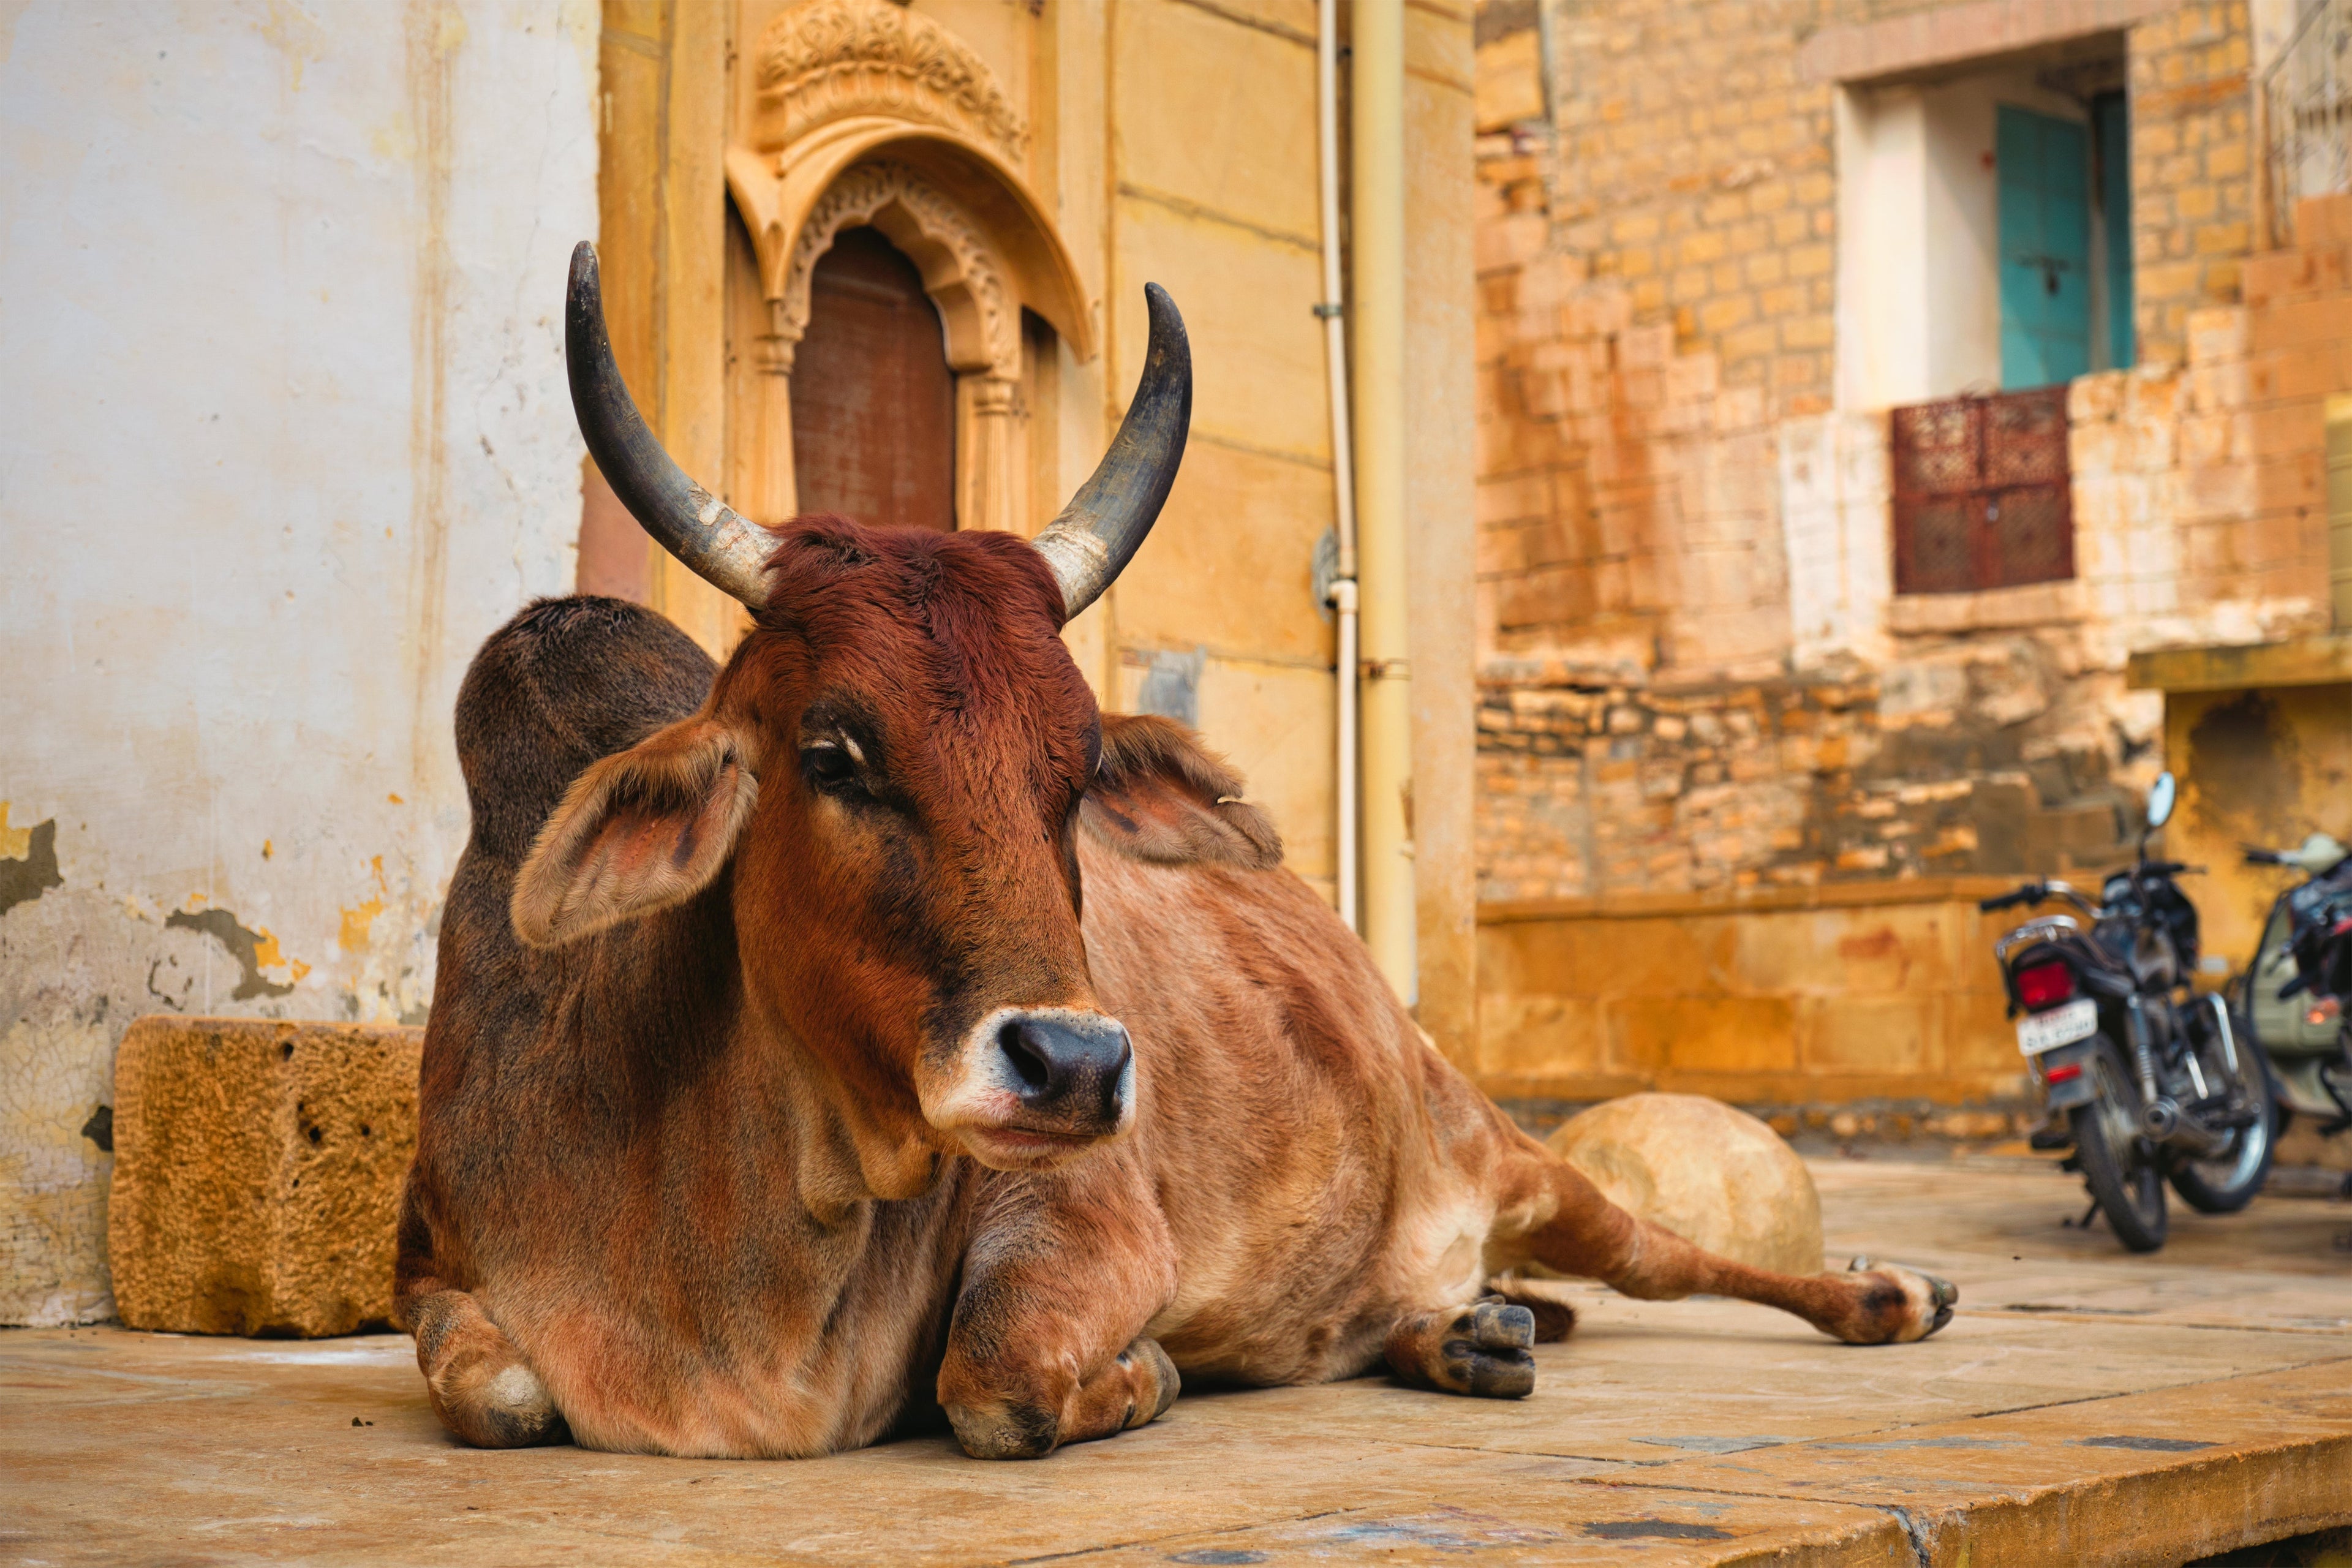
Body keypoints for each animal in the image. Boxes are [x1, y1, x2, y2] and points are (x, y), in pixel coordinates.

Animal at [393, 242, 1956, 1462]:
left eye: (1078, 770)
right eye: (832, 752)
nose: (1075, 1062)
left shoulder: (1079, 1209)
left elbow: (998, 1377)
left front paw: (1144, 1370)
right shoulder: (435, 1267)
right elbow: (502, 1391)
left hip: (1513, 1153)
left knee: (1674, 1252)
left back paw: (1880, 1297)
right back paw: (1473, 1330)